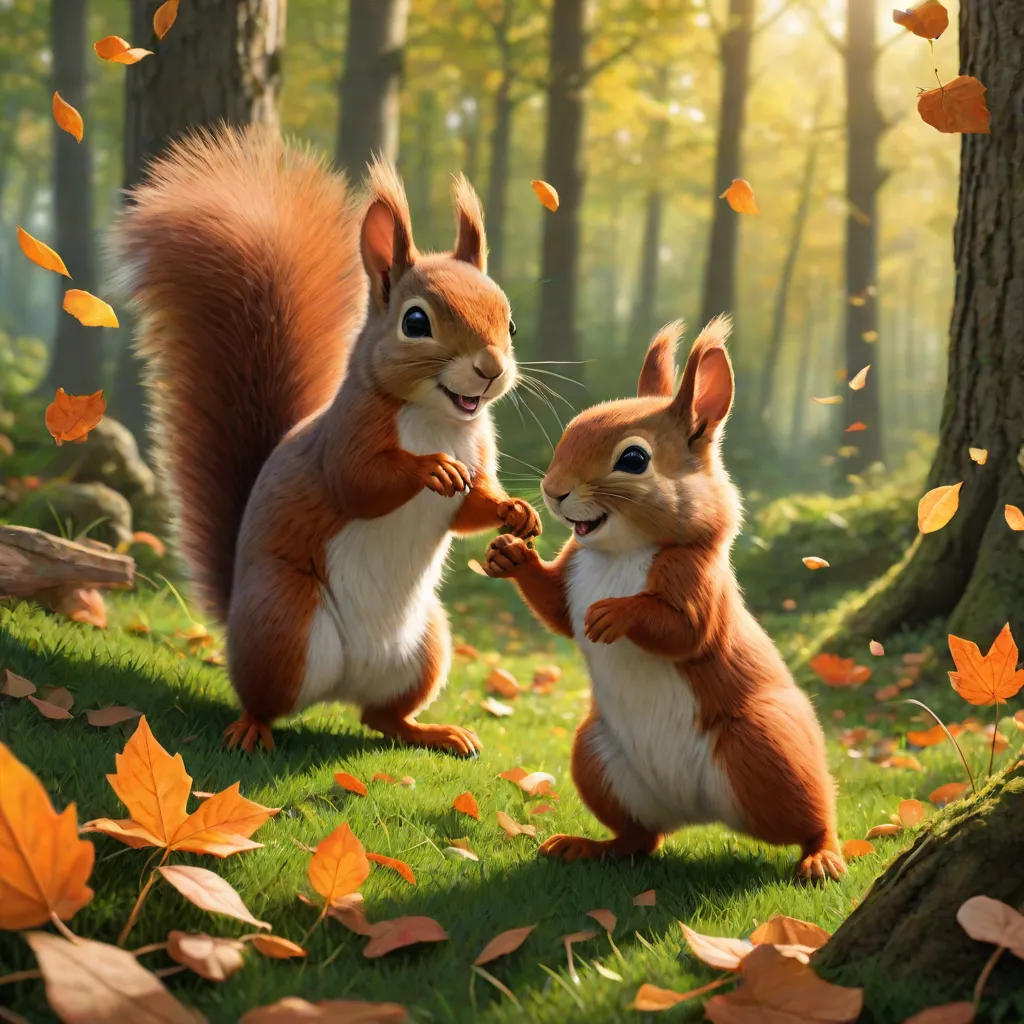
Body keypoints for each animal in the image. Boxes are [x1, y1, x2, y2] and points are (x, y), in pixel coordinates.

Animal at [117, 124, 539, 754]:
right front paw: (432, 469)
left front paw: (518, 510)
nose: (491, 369)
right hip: (283, 623)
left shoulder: (480, 453)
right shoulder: (347, 435)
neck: (438, 419)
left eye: (508, 323)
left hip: (426, 645)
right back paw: (251, 730)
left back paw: (435, 732)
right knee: (266, 699)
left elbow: (474, 506)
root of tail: (341, 687)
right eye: (416, 322)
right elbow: (358, 484)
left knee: (382, 718)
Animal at [483, 319, 845, 882]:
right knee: (640, 838)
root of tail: (697, 811)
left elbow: (684, 631)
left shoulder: (697, 580)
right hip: (597, 757)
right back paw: (588, 846)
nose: (553, 490)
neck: (622, 552)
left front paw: (614, 613)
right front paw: (510, 554)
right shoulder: (573, 574)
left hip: (767, 749)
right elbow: (556, 610)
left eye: (634, 459)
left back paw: (821, 855)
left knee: (814, 814)